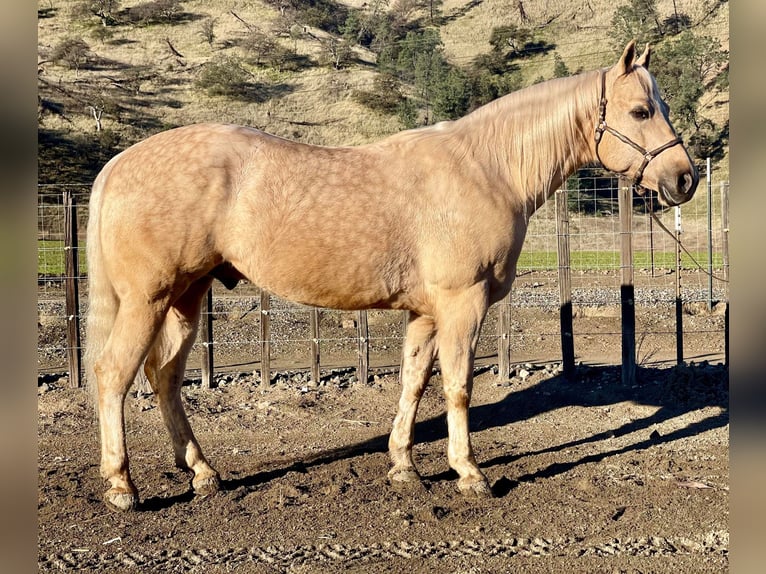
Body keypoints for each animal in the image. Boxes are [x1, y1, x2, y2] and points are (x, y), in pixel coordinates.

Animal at [87, 41, 700, 512]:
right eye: (641, 111)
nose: (684, 178)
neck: (487, 168)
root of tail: (117, 165)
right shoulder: (462, 303)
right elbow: (457, 386)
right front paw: (468, 472)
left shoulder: (426, 312)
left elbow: (413, 381)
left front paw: (404, 466)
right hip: (147, 300)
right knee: (114, 375)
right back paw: (122, 486)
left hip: (186, 298)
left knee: (164, 377)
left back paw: (202, 473)